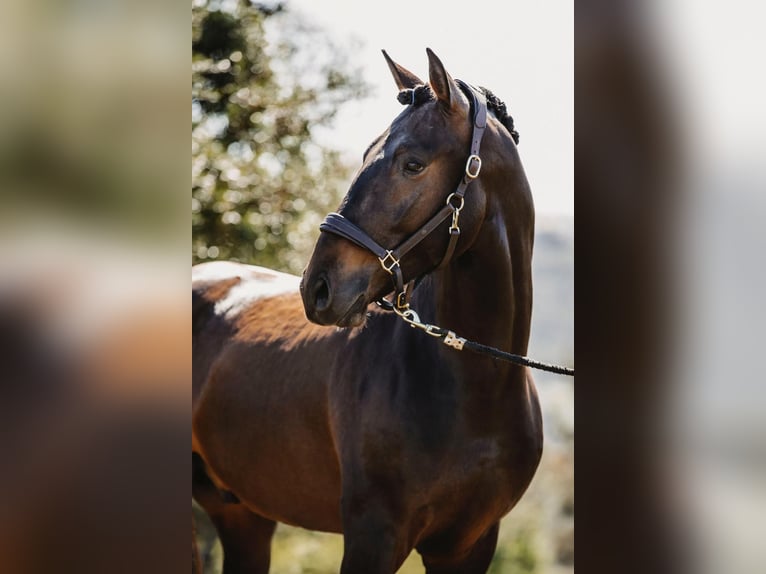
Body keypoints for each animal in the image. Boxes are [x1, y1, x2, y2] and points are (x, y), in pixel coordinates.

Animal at [195, 50, 544, 574]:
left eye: (412, 163)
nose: (317, 287)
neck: (476, 390)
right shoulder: (373, 536)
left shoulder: (470, 545)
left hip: (242, 516)